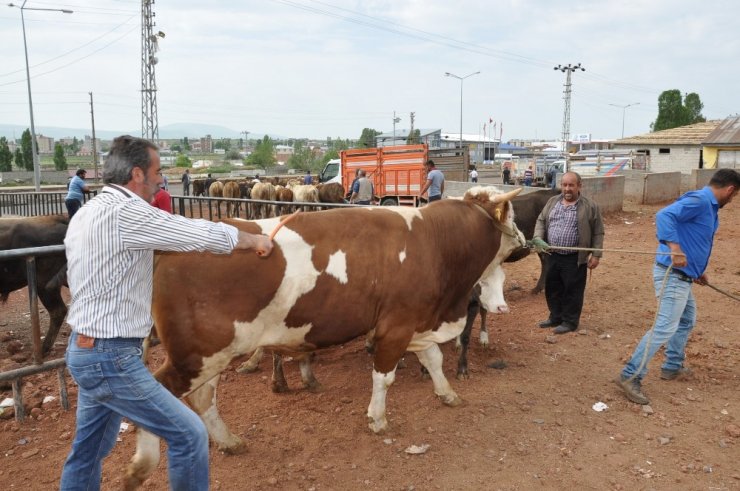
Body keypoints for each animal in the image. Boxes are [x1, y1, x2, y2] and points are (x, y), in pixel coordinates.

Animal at [124, 187, 524, 488]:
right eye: (511, 216)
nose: (524, 242)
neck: (434, 242)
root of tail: (169, 246)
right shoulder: (397, 324)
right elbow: (384, 376)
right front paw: (378, 418)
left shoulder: (420, 322)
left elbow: (434, 359)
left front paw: (447, 394)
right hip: (196, 354)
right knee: (162, 392)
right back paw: (143, 463)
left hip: (212, 354)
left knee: (203, 397)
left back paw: (228, 441)